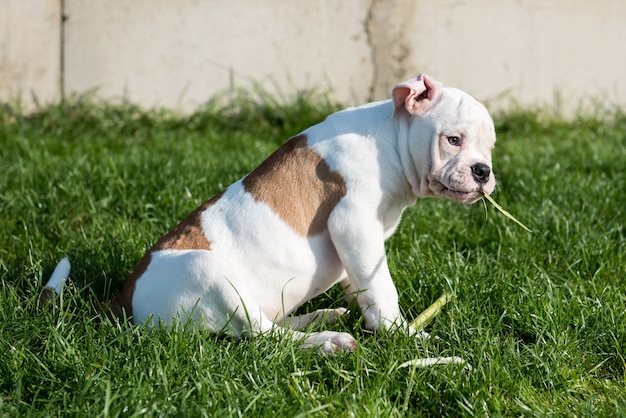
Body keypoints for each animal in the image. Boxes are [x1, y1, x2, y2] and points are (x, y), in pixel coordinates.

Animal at [44, 74, 494, 352]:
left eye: (489, 147)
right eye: (453, 140)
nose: (483, 171)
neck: (390, 137)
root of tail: (123, 297)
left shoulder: (361, 245)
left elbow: (365, 285)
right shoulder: (353, 227)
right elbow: (382, 288)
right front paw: (401, 334)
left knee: (269, 325)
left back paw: (319, 318)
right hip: (209, 272)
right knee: (262, 338)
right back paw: (325, 340)